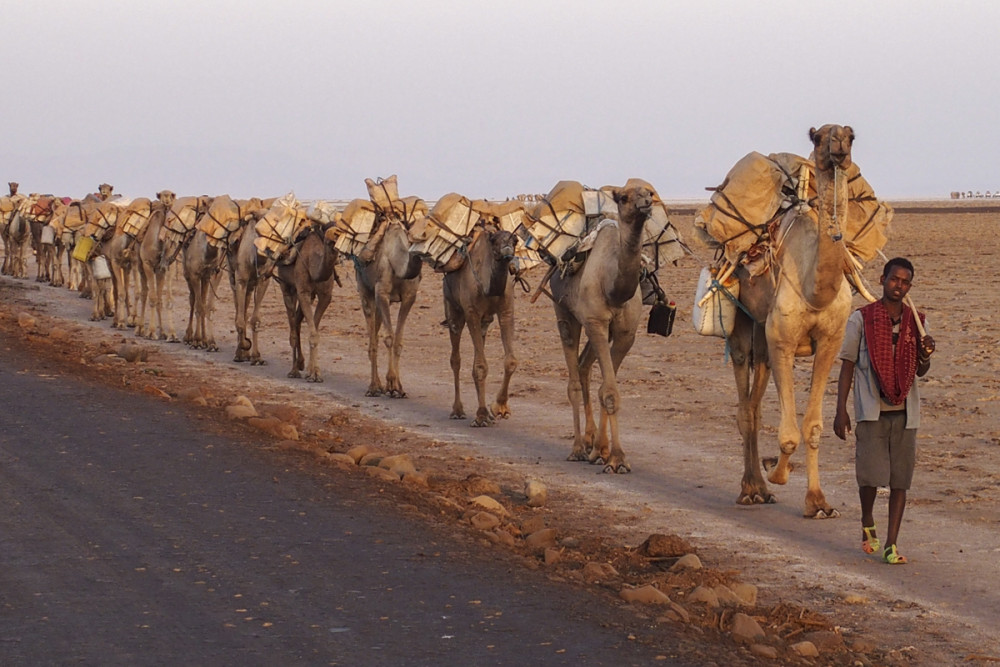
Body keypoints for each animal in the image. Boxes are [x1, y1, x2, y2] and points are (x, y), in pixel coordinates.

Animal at [276, 223, 342, 380]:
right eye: (330, 237)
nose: (337, 239)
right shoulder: (303, 292)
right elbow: (312, 332)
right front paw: (313, 373)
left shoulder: (325, 296)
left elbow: (315, 330)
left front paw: (314, 371)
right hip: (286, 287)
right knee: (293, 325)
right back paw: (294, 370)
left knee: (297, 322)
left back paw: (300, 363)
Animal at [446, 220, 524, 428]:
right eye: (494, 240)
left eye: (514, 240)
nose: (507, 250)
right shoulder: (471, 312)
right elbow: (480, 366)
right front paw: (481, 415)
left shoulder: (506, 311)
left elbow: (510, 360)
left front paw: (499, 408)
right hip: (453, 310)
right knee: (456, 358)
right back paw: (457, 411)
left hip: (485, 323)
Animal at [548, 184, 656, 474]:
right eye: (624, 197)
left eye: (649, 193)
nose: (646, 204)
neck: (614, 288)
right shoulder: (596, 322)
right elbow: (608, 391)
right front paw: (616, 458)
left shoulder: (625, 333)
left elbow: (608, 390)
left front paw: (605, 452)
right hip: (565, 313)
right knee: (574, 379)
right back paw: (577, 448)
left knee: (584, 367)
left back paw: (591, 443)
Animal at [732, 126, 856, 520]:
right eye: (819, 137)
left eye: (851, 134)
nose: (839, 146)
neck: (815, 288)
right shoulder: (783, 340)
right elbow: (788, 434)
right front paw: (777, 473)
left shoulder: (830, 341)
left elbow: (813, 426)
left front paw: (818, 502)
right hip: (743, 323)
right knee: (745, 407)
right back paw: (750, 489)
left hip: (762, 335)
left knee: (755, 401)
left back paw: (758, 487)